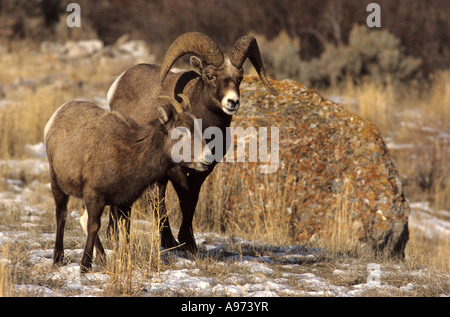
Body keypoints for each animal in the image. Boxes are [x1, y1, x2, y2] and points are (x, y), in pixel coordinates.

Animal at [43, 96, 211, 272]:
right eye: (182, 132)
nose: (207, 157)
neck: (128, 154)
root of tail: (55, 116)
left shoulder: (125, 202)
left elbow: (126, 230)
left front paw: (124, 262)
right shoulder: (95, 196)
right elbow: (94, 226)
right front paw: (84, 267)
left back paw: (102, 259)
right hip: (57, 183)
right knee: (61, 215)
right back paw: (58, 260)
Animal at [108, 31, 278, 252]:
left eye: (239, 78)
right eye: (210, 76)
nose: (232, 102)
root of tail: (117, 84)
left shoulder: (204, 170)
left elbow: (191, 201)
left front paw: (189, 244)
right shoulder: (176, 169)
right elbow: (182, 198)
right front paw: (180, 243)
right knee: (155, 198)